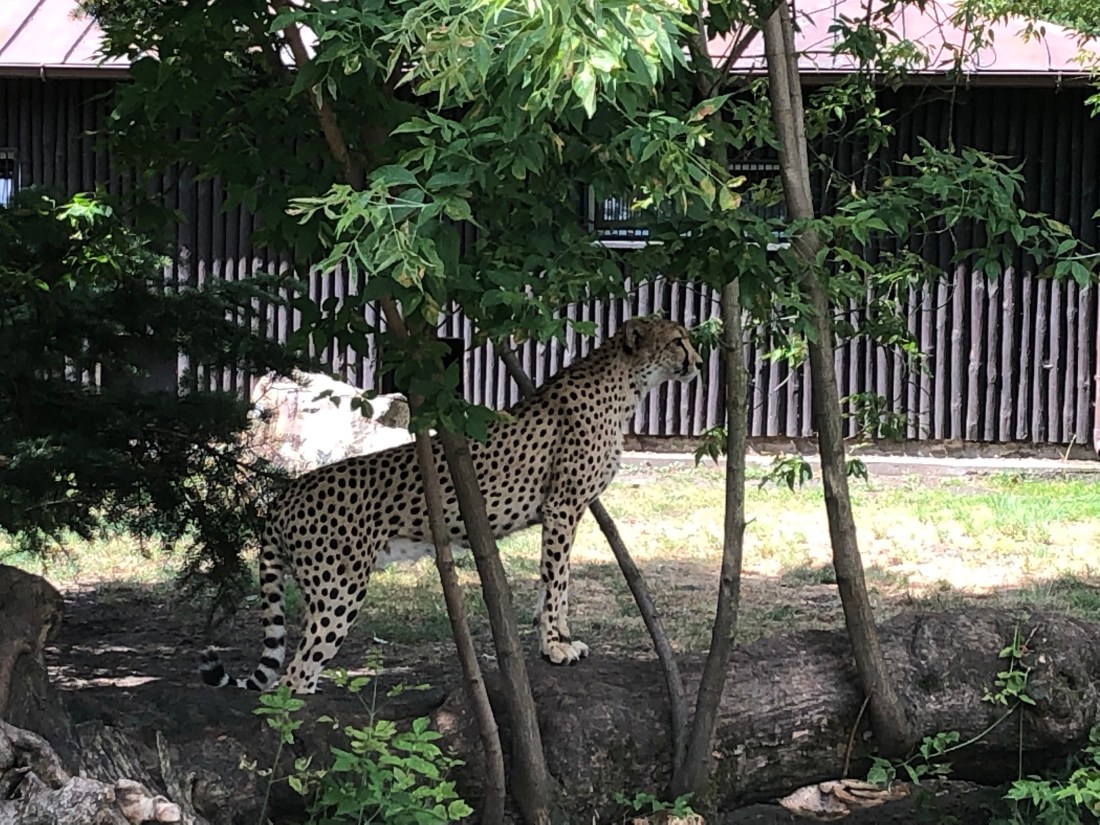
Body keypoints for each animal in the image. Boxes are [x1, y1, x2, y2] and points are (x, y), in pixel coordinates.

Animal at [200, 316, 703, 693]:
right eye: (677, 340)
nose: (698, 363)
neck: (625, 382)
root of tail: (286, 492)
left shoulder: (561, 512)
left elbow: (552, 583)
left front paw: (554, 638)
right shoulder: (563, 506)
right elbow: (558, 580)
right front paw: (556, 645)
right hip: (338, 591)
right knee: (294, 675)